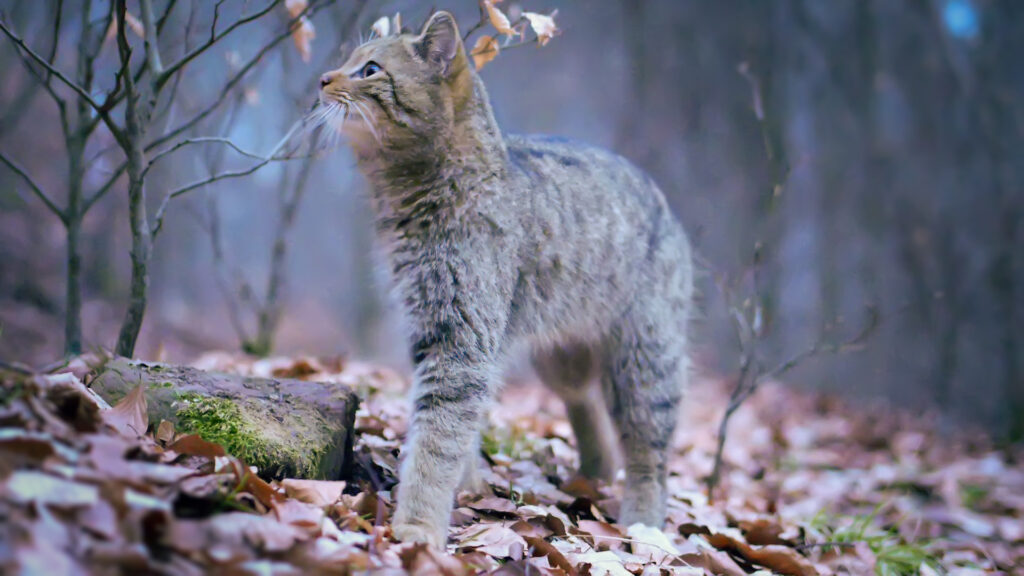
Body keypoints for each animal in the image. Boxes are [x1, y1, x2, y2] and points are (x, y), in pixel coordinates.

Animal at [315, 11, 692, 545]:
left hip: (646, 361)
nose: (323, 79)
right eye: (348, 60)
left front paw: (417, 525)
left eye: (368, 69)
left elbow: (437, 440)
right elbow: (456, 429)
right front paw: (468, 486)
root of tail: (662, 199)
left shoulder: (460, 340)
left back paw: (642, 524)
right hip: (560, 357)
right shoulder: (434, 329)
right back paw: (595, 471)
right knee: (583, 400)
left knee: (649, 455)